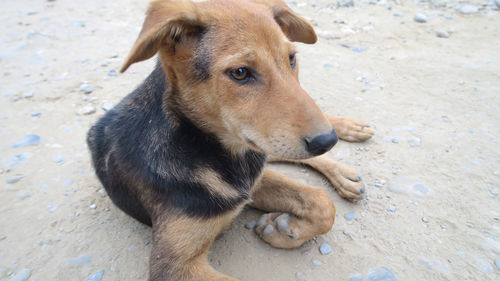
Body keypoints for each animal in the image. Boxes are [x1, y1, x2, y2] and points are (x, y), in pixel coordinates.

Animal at [88, 0, 374, 278]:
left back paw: (347, 143)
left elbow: (323, 203)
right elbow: (321, 202)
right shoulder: (173, 265)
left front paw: (285, 230)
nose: (327, 140)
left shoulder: (252, 181)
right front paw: (285, 229)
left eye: (291, 58)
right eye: (239, 72)